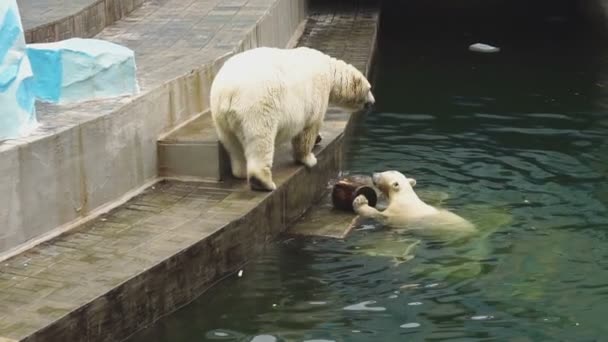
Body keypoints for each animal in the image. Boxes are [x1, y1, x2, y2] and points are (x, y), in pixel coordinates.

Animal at [210, 47, 376, 192]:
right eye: (369, 88)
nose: (373, 102)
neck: (329, 69)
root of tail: (228, 92)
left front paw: (318, 138)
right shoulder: (316, 93)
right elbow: (309, 128)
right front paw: (309, 159)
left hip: (220, 115)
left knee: (232, 143)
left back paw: (241, 171)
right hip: (257, 106)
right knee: (261, 140)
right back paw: (263, 182)